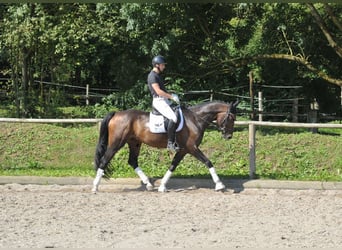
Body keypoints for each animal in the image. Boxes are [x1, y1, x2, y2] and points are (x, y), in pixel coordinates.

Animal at [92, 100, 239, 192]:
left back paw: (149, 184)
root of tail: (116, 113)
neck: (195, 119)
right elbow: (208, 162)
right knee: (104, 160)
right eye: (231, 118)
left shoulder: (183, 150)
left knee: (132, 161)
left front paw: (162, 186)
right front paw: (219, 185)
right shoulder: (192, 147)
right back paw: (95, 187)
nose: (229, 136)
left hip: (134, 143)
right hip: (116, 143)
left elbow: (173, 165)